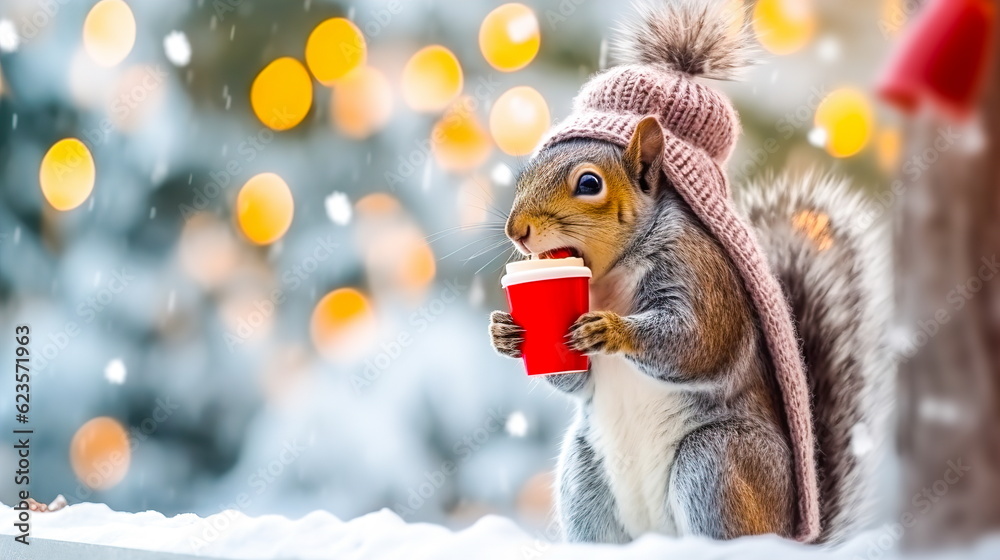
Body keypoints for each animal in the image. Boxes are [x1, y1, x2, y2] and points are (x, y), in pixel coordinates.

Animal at [488, 0, 890, 545]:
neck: (609, 276)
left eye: (589, 184)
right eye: (525, 173)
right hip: (583, 477)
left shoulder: (701, 273)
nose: (517, 230)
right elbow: (575, 379)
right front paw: (505, 332)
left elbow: (699, 341)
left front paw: (611, 330)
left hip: (716, 461)